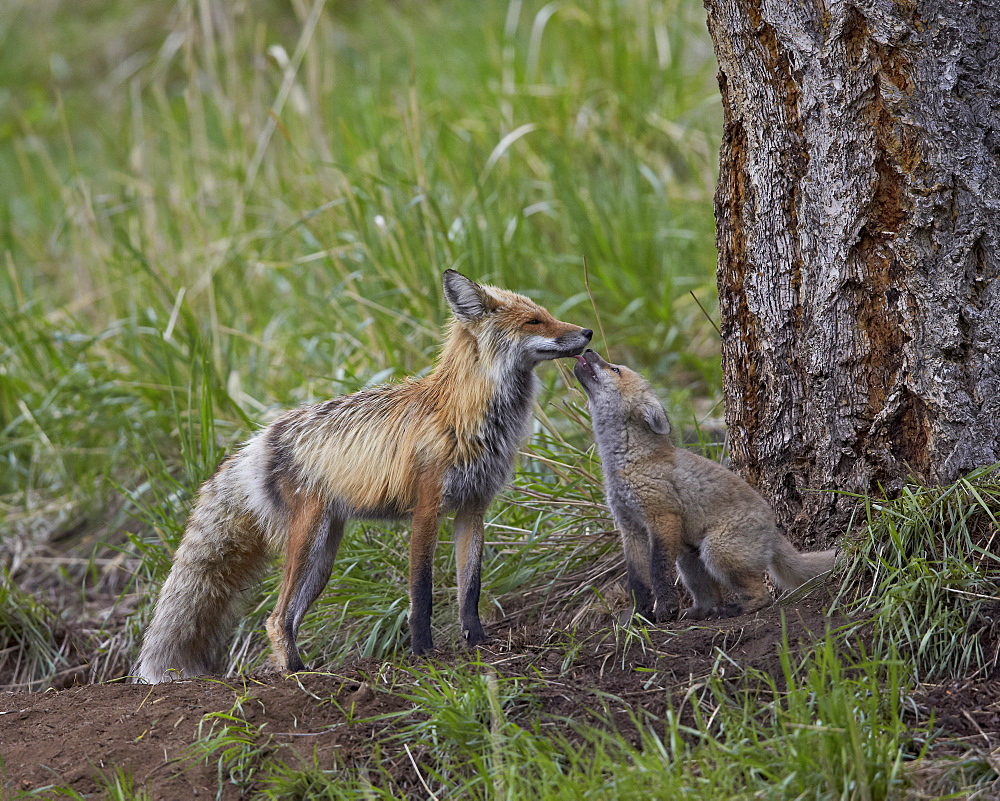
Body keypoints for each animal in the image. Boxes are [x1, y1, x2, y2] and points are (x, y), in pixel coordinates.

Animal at [132, 270, 584, 680]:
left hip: (323, 558)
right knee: (275, 617)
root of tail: (260, 438)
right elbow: (422, 593)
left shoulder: (473, 507)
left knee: (287, 617)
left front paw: (478, 643)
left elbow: (469, 589)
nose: (587, 332)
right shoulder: (427, 508)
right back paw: (297, 674)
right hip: (308, 540)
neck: (466, 415)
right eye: (534, 322)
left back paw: (297, 669)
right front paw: (423, 653)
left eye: (546, 315)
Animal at [576, 352, 832, 624]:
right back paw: (700, 611)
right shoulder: (630, 528)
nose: (589, 350)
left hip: (716, 552)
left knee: (762, 595)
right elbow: (637, 581)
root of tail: (774, 530)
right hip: (689, 558)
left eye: (615, 370)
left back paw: (734, 609)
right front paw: (639, 616)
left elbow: (658, 570)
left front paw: (665, 609)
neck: (629, 462)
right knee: (710, 598)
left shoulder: (662, 517)